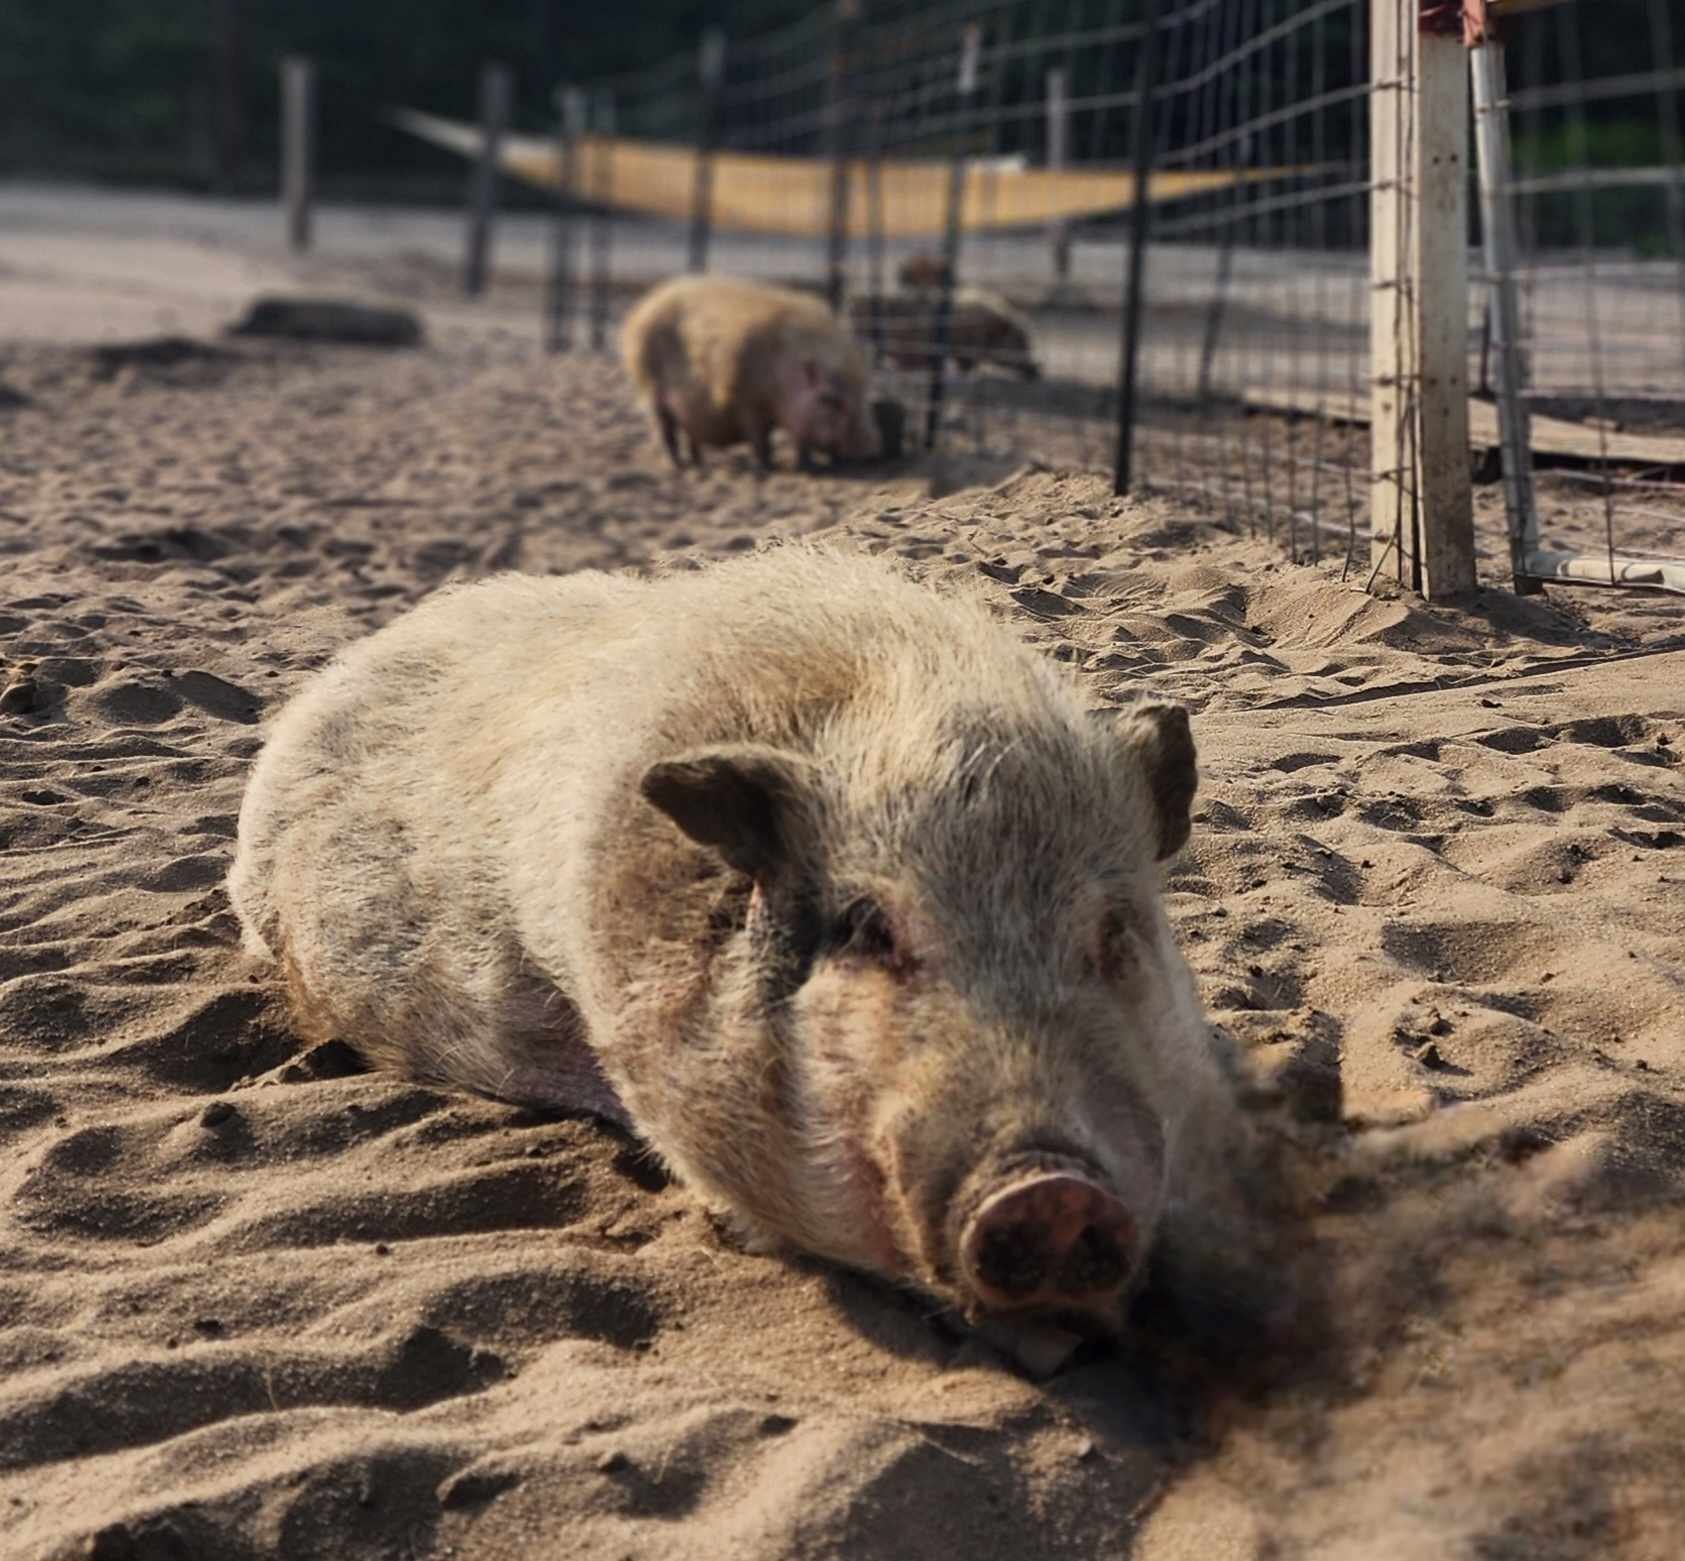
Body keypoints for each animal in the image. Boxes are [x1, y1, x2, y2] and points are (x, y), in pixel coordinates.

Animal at [621, 275, 881, 472]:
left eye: (862, 393)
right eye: (831, 399)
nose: (872, 448)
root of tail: (641, 312)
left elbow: (800, 441)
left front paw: (808, 466)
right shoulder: (745, 401)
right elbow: (761, 439)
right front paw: (768, 467)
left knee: (690, 435)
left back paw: (698, 464)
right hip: (651, 389)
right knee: (667, 432)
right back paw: (679, 466)